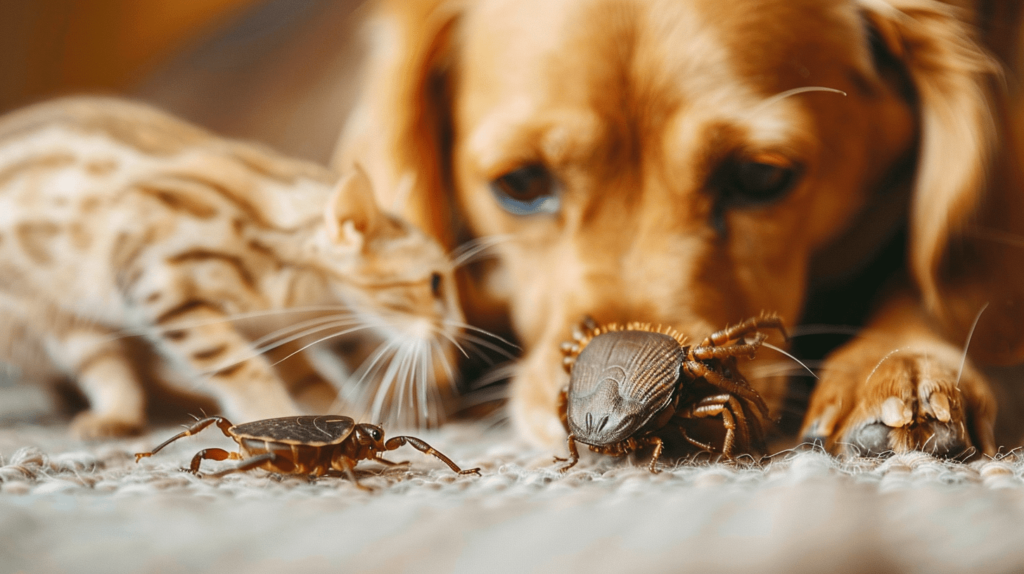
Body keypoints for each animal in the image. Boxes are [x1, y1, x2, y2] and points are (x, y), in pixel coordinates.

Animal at [0, 97, 464, 437]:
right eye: (435, 282)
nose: (458, 327)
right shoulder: (160, 281)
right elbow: (240, 368)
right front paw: (270, 416)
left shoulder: (272, 331)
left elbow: (311, 381)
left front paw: (346, 416)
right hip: (58, 313)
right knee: (102, 364)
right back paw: (116, 416)